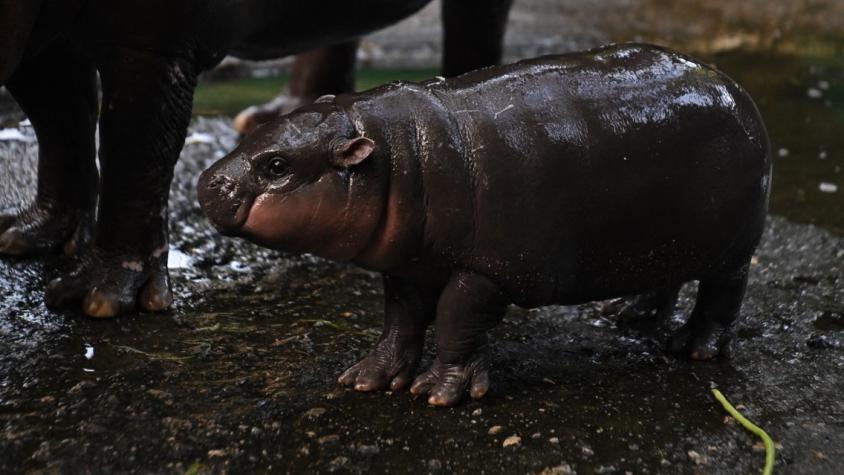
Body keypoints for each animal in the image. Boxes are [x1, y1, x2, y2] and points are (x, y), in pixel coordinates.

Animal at [0, 1, 516, 320]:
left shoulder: (154, 43)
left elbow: (134, 151)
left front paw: (98, 299)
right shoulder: (40, 40)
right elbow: (62, 123)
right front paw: (27, 237)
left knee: (476, 25)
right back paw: (274, 115)